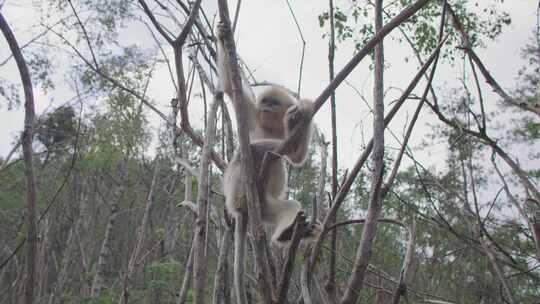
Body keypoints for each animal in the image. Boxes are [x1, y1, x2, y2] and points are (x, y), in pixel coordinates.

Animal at [216, 21, 320, 246]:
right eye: (264, 102)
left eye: (274, 103)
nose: (266, 107)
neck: (271, 127)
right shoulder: (250, 115)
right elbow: (229, 87)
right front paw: (221, 33)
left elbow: (296, 157)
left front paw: (302, 113)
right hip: (237, 193)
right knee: (243, 154)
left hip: (265, 208)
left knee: (290, 205)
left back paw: (291, 233)